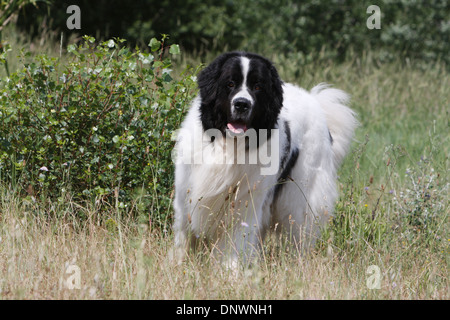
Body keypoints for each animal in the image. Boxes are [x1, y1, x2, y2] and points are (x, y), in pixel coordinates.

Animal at [173, 52, 358, 268]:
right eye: (230, 83)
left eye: (258, 87)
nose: (242, 104)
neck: (229, 147)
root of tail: (315, 102)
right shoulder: (186, 194)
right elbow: (183, 237)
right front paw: (176, 264)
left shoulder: (245, 202)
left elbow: (236, 242)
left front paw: (230, 271)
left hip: (300, 196)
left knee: (300, 230)